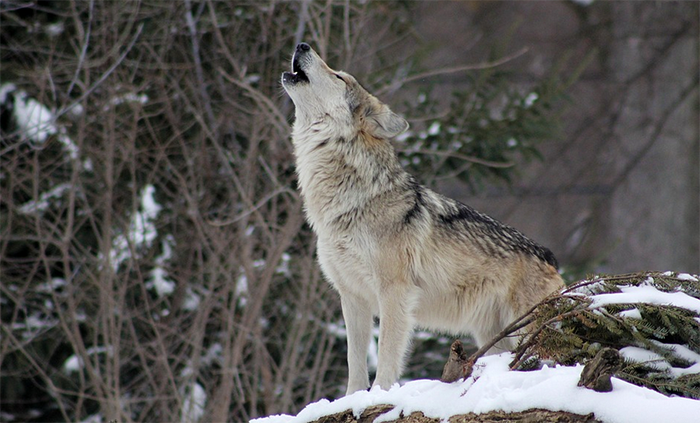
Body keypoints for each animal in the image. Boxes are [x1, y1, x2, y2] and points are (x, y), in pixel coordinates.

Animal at [281, 43, 564, 395]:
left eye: (339, 77)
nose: (302, 45)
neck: (351, 201)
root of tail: (550, 257)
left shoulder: (395, 292)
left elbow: (387, 356)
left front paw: (380, 395)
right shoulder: (352, 297)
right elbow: (354, 363)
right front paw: (352, 399)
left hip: (525, 330)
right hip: (494, 337)